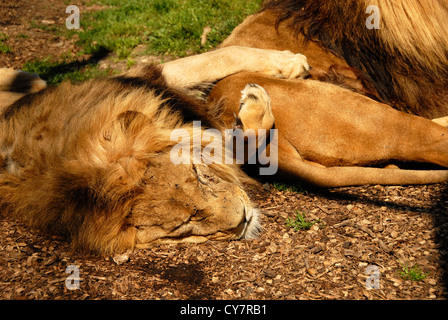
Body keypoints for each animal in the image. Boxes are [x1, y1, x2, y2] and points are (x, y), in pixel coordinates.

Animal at [0, 46, 308, 256]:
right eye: (185, 224)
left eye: (198, 175)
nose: (245, 218)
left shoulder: (145, 82)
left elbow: (219, 56)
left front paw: (290, 63)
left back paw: (28, 77)